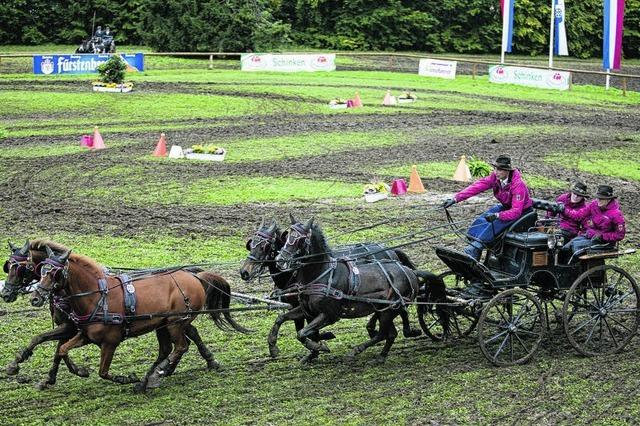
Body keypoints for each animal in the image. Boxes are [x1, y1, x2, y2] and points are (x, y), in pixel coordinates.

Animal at [29, 245, 248, 392]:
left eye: (55, 272)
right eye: (41, 271)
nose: (35, 297)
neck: (97, 297)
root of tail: (194, 277)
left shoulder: (110, 342)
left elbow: (103, 372)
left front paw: (127, 378)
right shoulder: (86, 335)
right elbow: (63, 349)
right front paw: (79, 370)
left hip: (175, 323)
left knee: (180, 347)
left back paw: (156, 375)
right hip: (163, 325)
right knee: (168, 349)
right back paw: (150, 378)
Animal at [238, 218, 422, 362]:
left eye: (265, 246)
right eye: (251, 244)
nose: (244, 272)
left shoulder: (328, 315)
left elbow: (303, 332)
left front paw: (318, 346)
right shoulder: (302, 309)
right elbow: (283, 321)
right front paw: (276, 348)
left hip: (388, 309)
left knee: (387, 330)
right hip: (384, 308)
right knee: (391, 330)